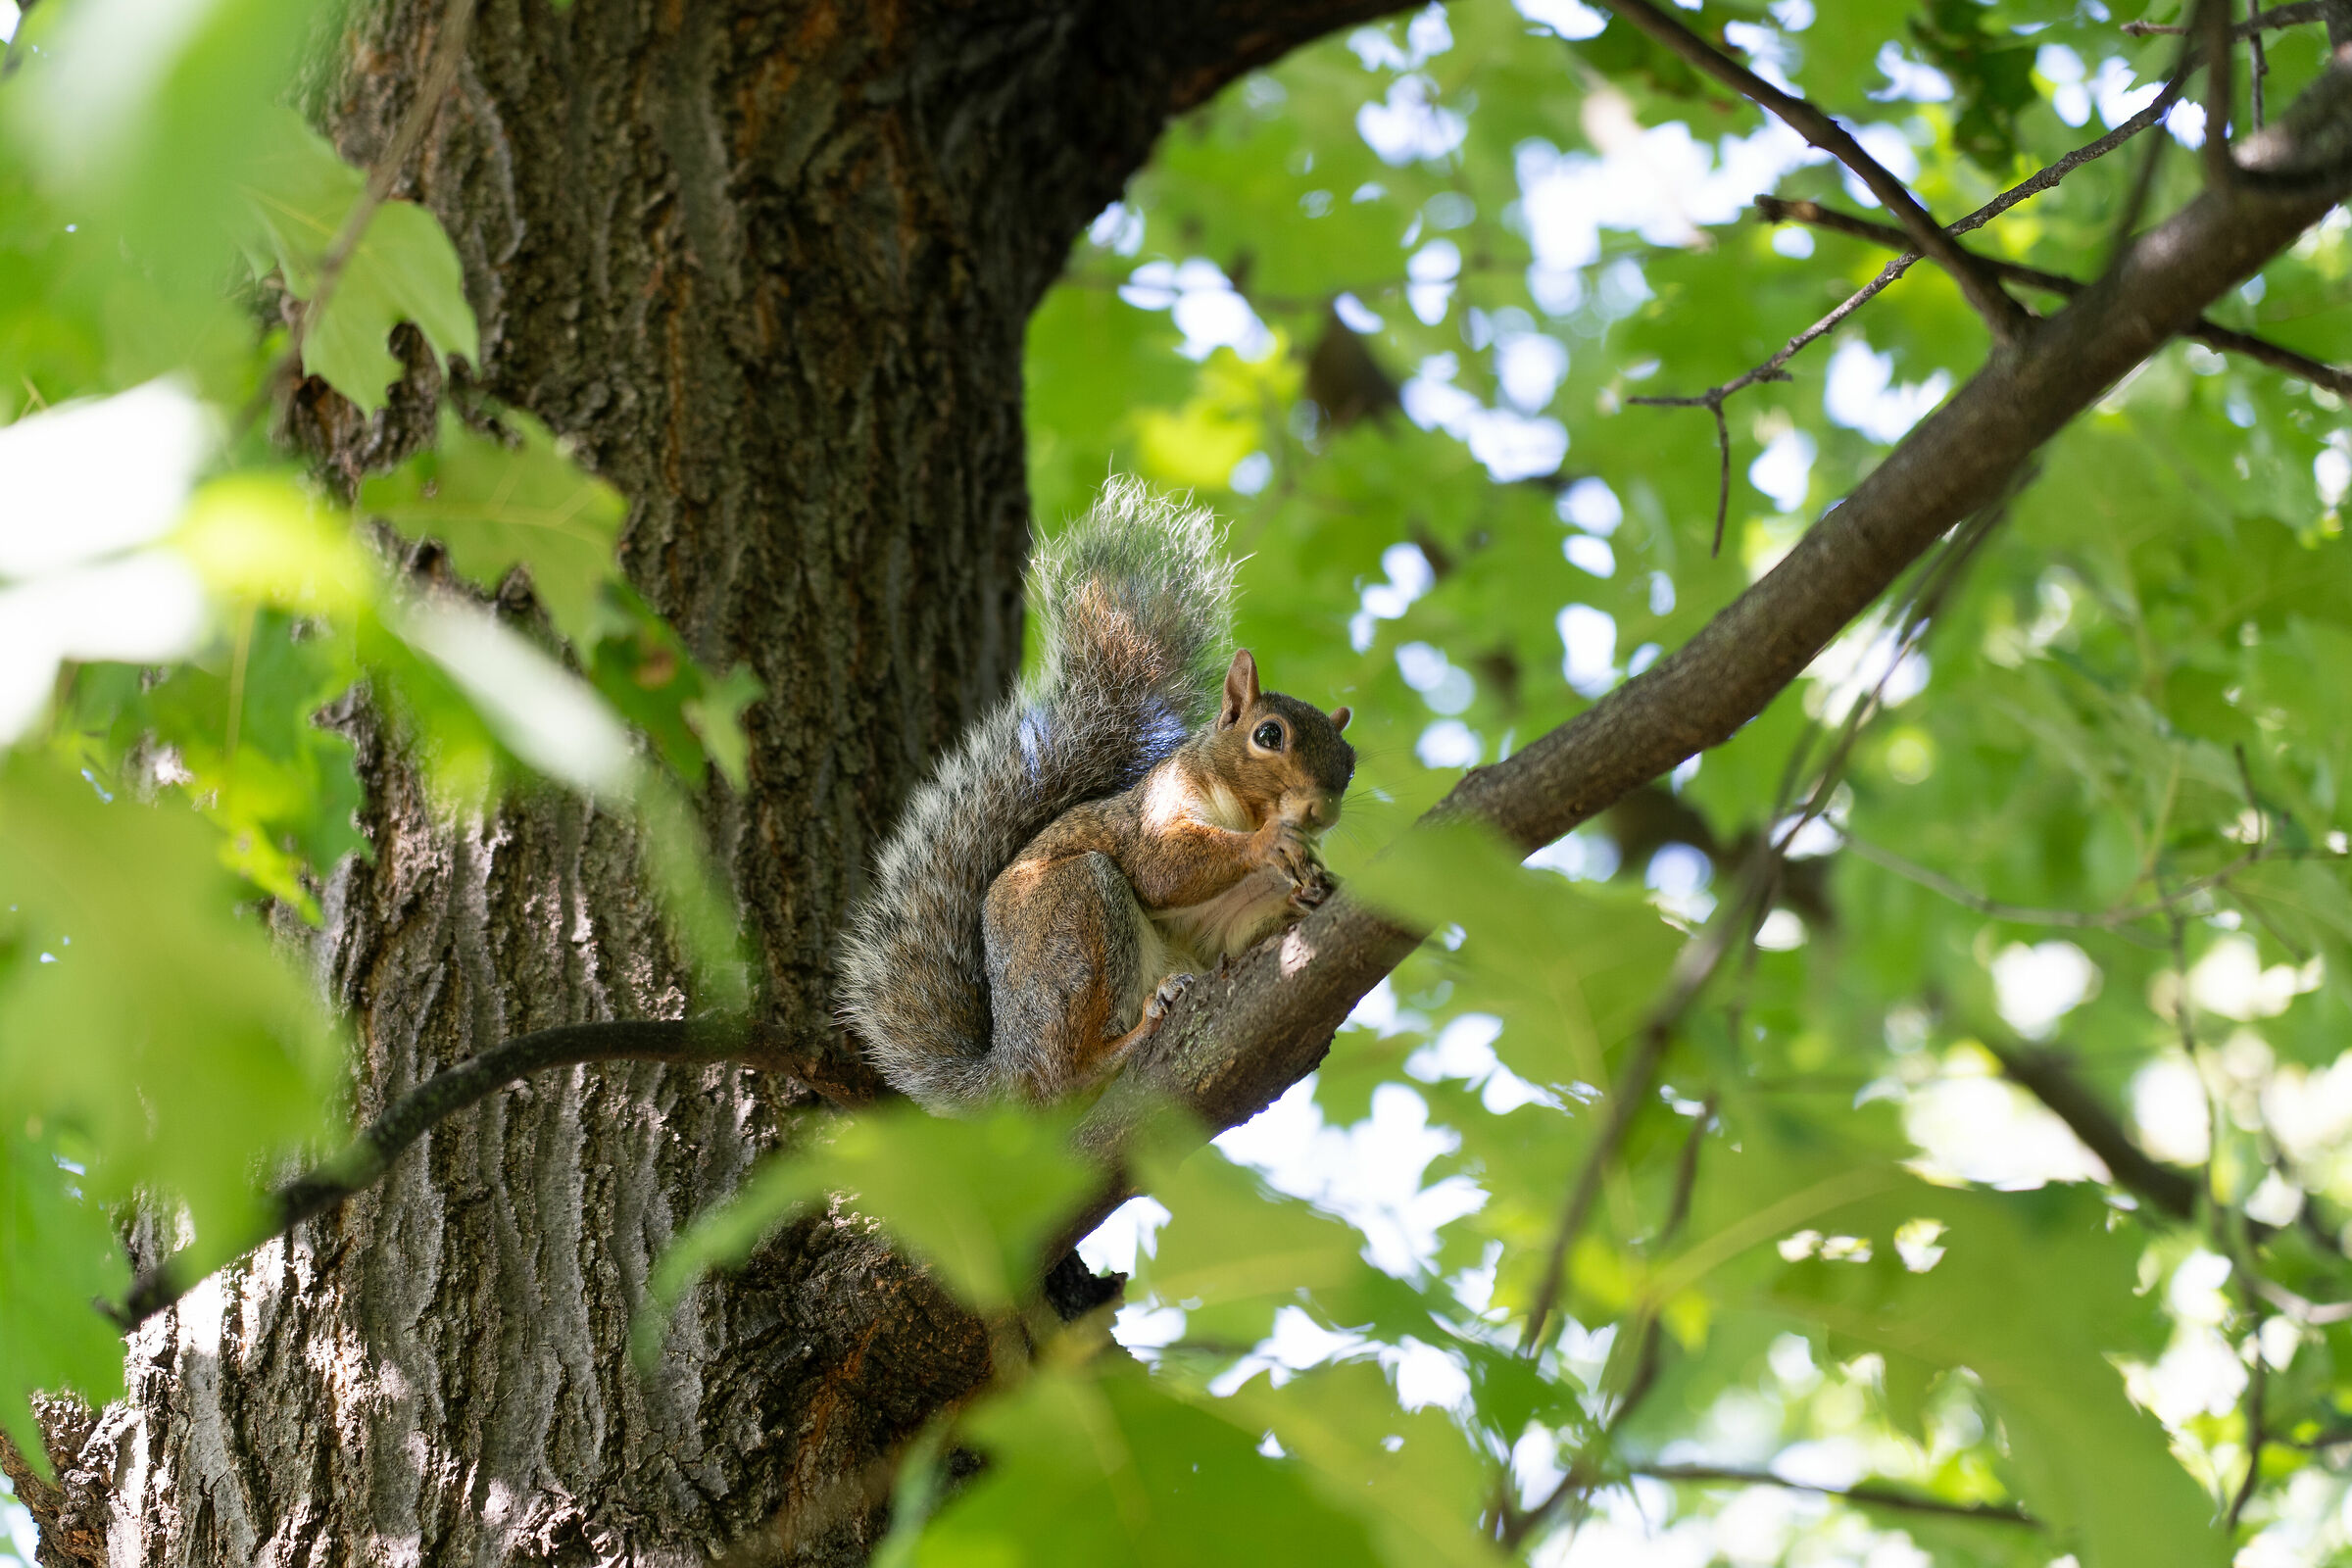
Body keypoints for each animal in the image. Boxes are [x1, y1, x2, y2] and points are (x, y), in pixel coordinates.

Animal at [838, 479, 1357, 1108]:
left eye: (1351, 763)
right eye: (1269, 735)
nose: (1320, 809)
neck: (1241, 809)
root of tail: (1009, 1064)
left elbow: (1240, 930)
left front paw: (1314, 889)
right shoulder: (1158, 805)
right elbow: (1162, 867)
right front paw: (1268, 841)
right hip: (1073, 914)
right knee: (1067, 1073)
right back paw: (1132, 1037)